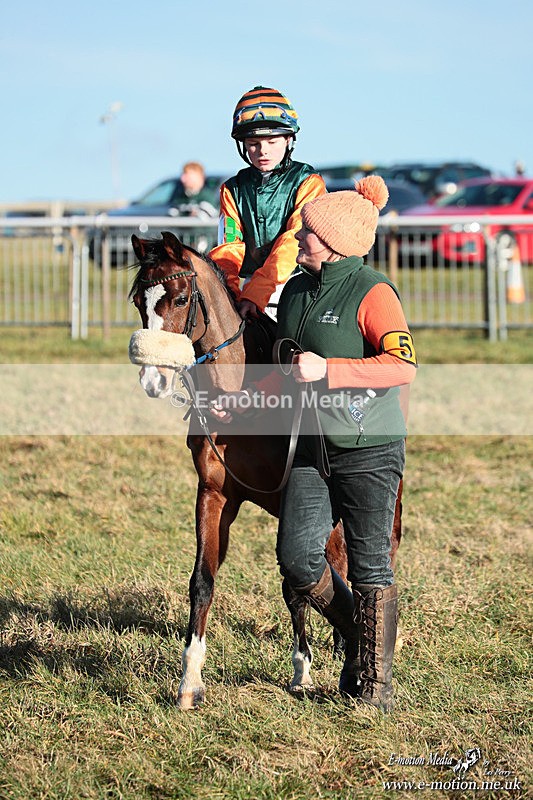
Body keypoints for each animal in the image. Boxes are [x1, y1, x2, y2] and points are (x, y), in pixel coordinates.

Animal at [129, 231, 403, 709]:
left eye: (180, 298)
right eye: (138, 302)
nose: (153, 380)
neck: (240, 398)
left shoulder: (295, 495)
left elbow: (296, 587)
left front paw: (302, 671)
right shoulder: (214, 493)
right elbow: (203, 580)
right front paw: (190, 682)